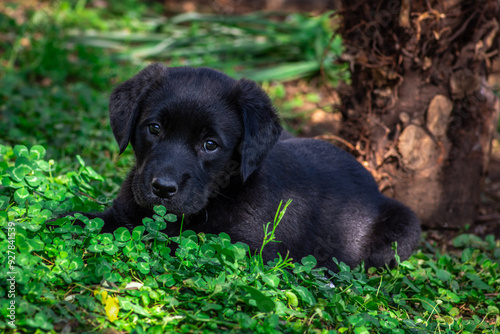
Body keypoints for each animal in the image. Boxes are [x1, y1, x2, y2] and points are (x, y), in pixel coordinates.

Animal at [84, 64, 420, 270]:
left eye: (210, 145)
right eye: (154, 128)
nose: (163, 189)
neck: (223, 195)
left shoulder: (243, 249)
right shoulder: (121, 214)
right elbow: (86, 219)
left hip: (403, 230)